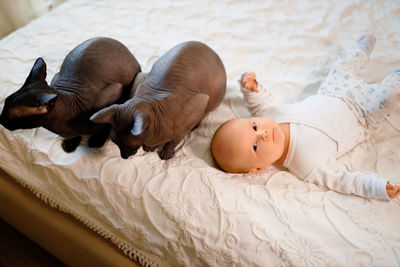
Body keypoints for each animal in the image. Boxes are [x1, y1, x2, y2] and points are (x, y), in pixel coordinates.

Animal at [0, 36, 141, 152]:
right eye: (5, 103)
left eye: (11, 114)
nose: (0, 119)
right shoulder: (56, 79)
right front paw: (71, 142)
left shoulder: (115, 91)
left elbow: (107, 120)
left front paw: (97, 140)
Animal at [92, 40, 227, 160]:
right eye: (115, 142)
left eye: (129, 145)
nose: (124, 157)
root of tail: (210, 49)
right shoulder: (140, 78)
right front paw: (151, 147)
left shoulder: (199, 104)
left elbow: (176, 139)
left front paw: (166, 152)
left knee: (205, 113)